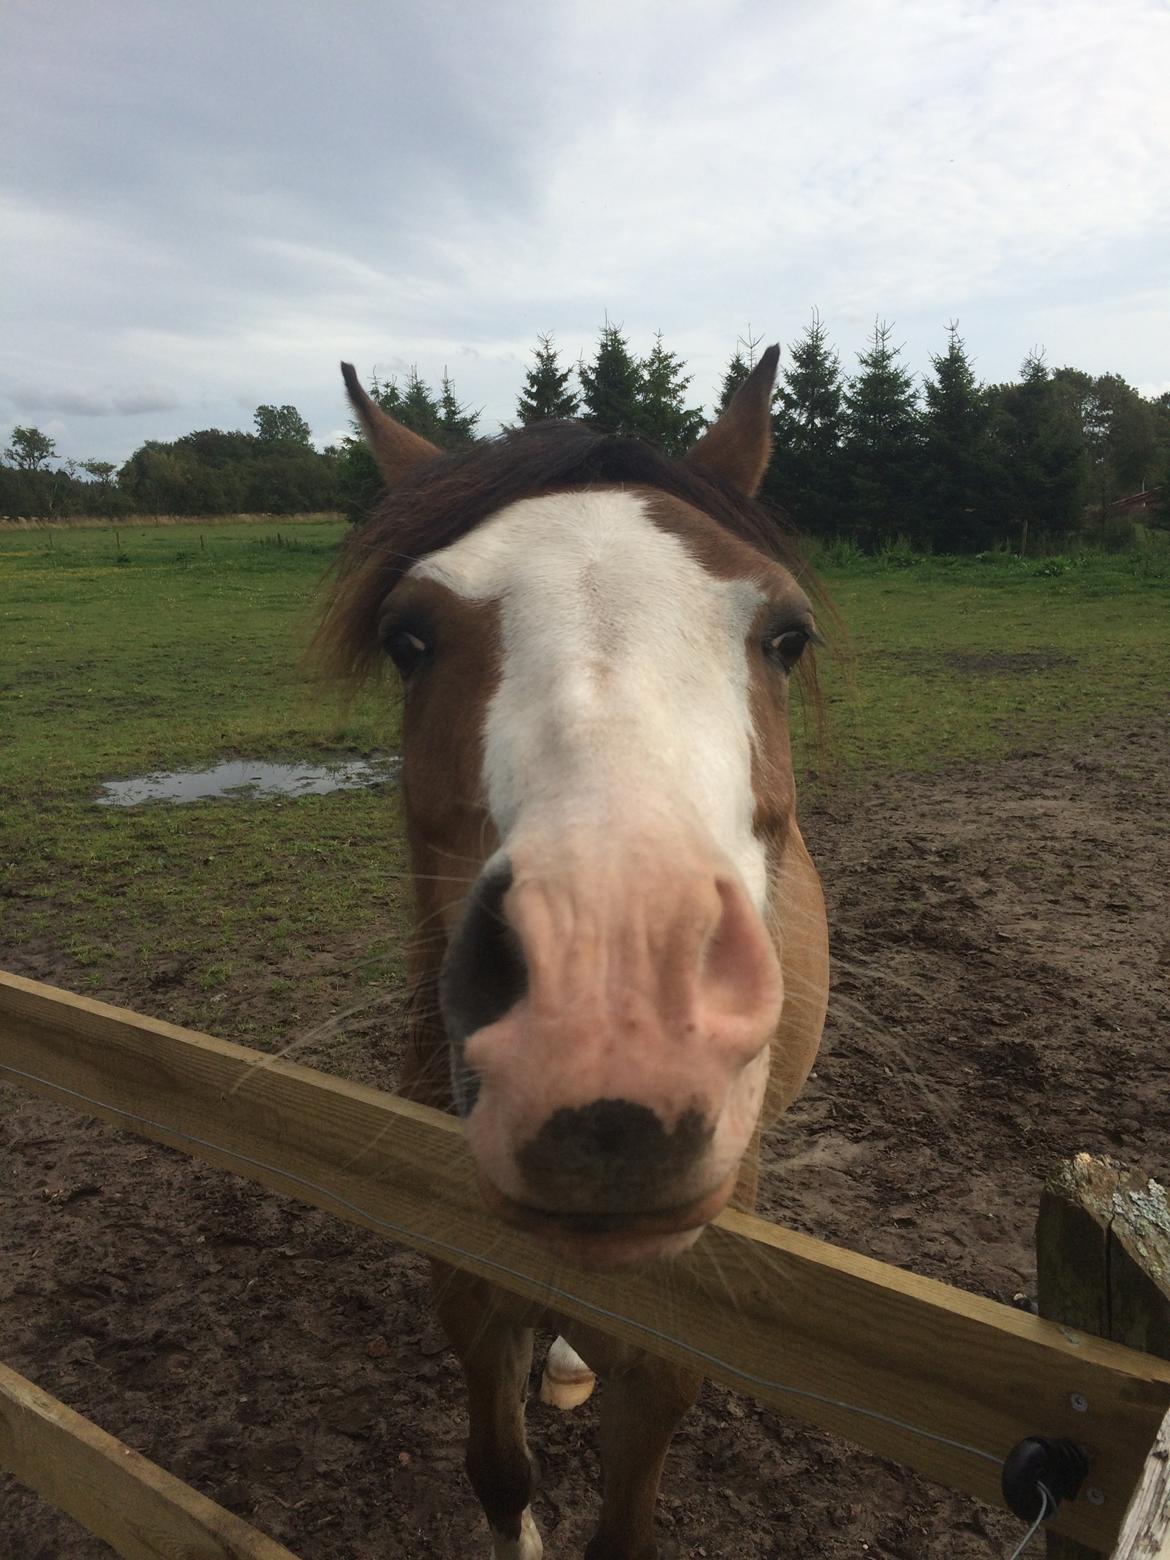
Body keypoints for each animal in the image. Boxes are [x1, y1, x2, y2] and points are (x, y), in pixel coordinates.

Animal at [318, 346, 830, 1560]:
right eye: (409, 639)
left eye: (787, 636)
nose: (615, 1018)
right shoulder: (464, 1288)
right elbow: (499, 1473)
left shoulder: (673, 1350)